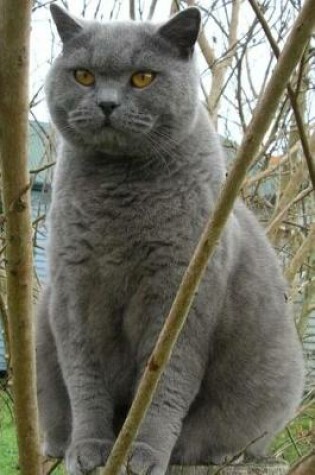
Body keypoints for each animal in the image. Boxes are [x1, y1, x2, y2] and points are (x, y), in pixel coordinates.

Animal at [35, 4, 304, 475]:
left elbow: (165, 383)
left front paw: (143, 453)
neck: (120, 191)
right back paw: (58, 442)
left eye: (143, 77)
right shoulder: (72, 291)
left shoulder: (180, 297)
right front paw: (88, 448)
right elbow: (83, 378)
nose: (107, 103)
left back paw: (215, 452)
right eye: (83, 75)